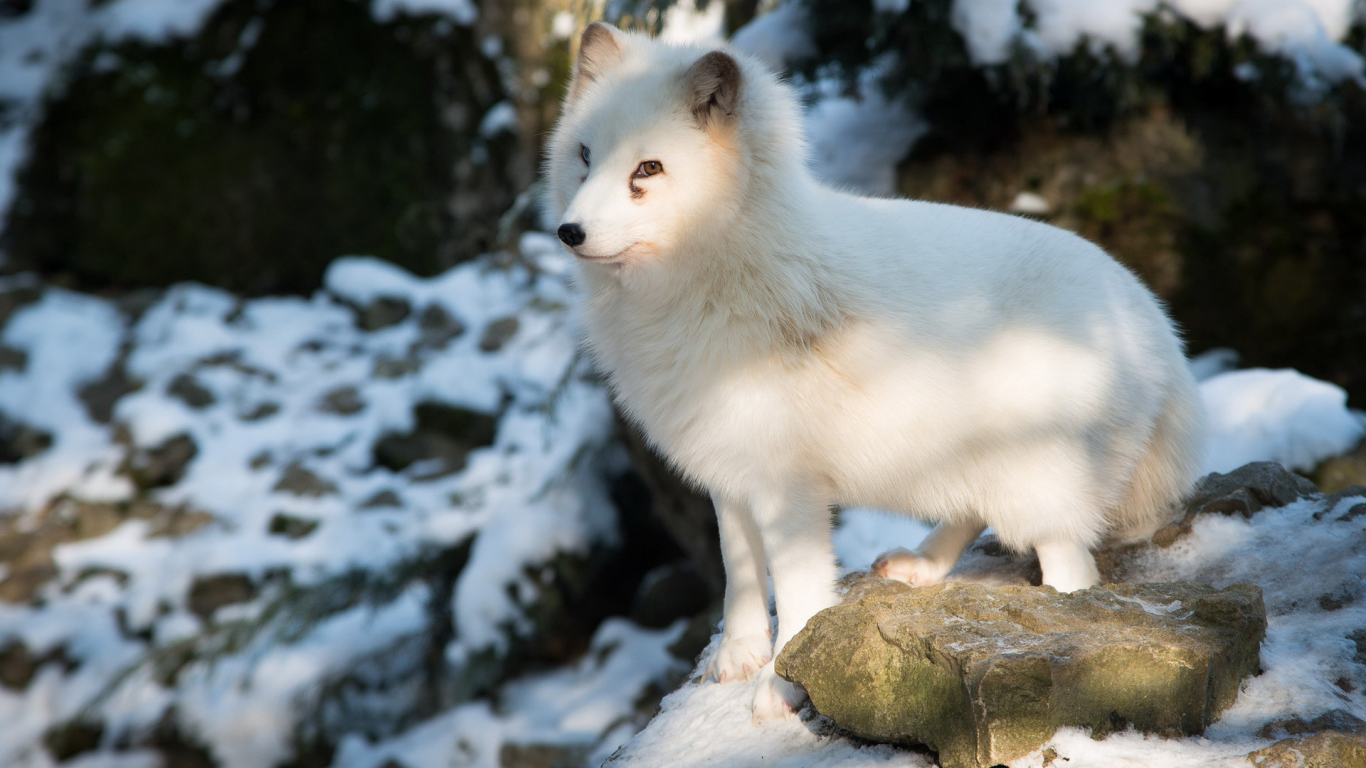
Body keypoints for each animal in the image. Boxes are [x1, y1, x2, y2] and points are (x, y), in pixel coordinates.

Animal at [543, 22, 1207, 716]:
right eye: (585, 155)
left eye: (647, 169)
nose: (569, 231)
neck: (720, 273)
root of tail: (1154, 322)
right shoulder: (728, 469)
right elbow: (739, 570)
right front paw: (738, 657)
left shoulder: (789, 488)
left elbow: (798, 592)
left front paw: (781, 685)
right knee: (972, 512)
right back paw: (920, 566)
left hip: (1041, 482)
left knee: (1073, 568)